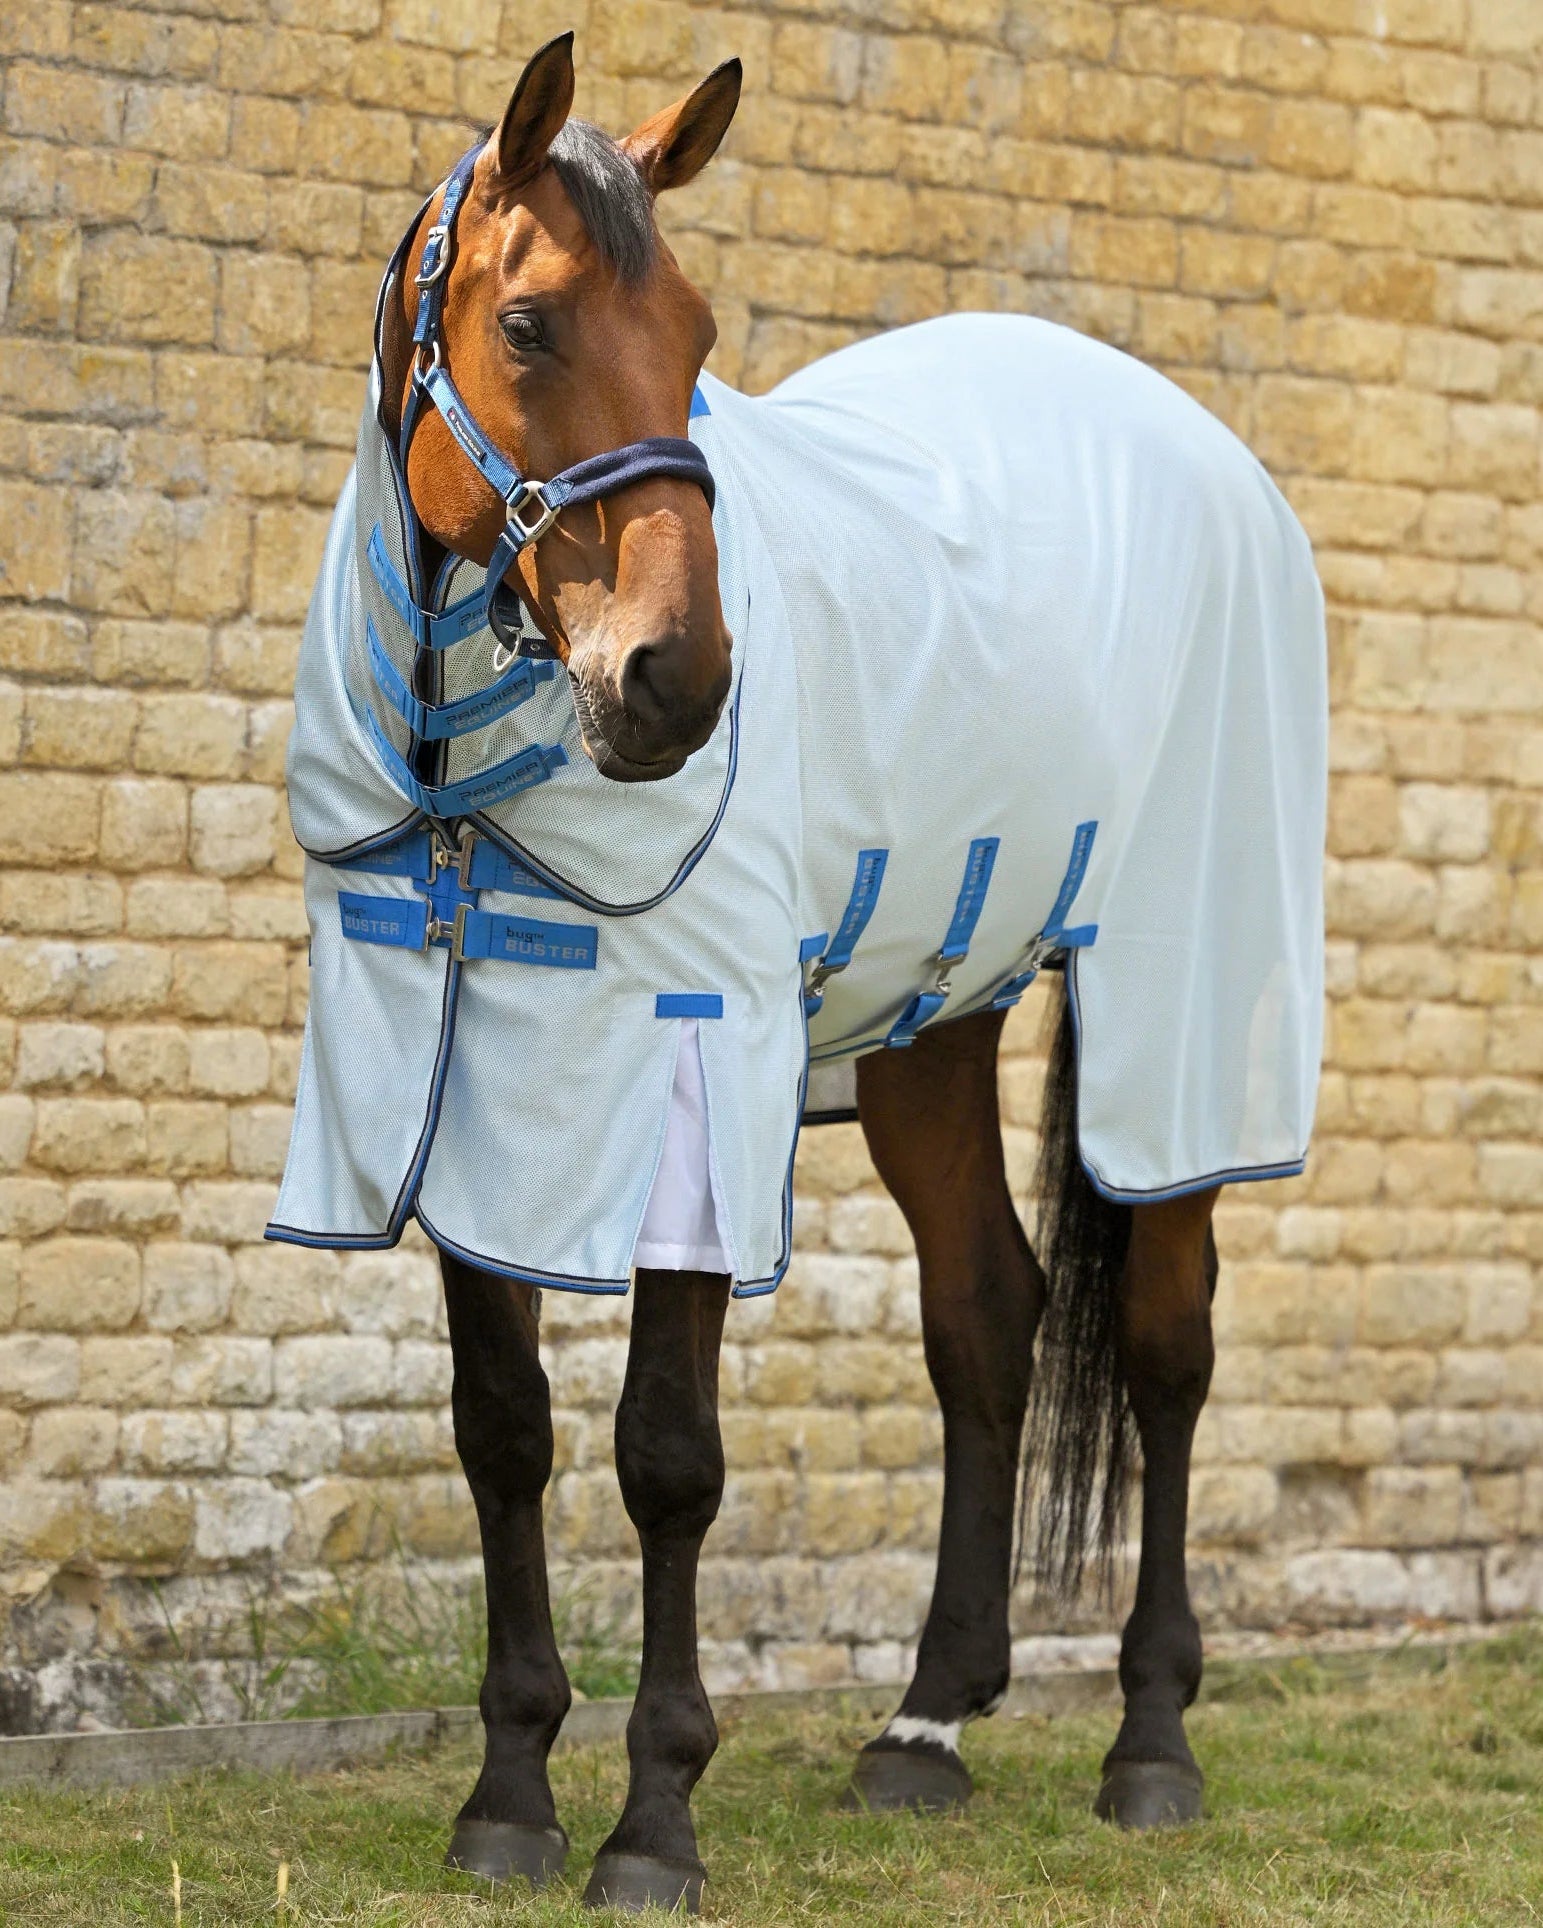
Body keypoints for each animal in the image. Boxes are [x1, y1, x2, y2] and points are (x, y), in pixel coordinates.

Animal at [268, 32, 1327, 1914]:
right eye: (526, 324)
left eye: (696, 334)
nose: (676, 683)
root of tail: (1203, 450)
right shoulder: (447, 1077)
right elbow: (502, 1427)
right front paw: (508, 1797)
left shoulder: (694, 1063)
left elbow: (666, 1458)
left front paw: (651, 1820)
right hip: (930, 1019)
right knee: (984, 1313)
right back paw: (924, 1725)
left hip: (1183, 1000)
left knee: (1162, 1342)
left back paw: (1148, 1742)